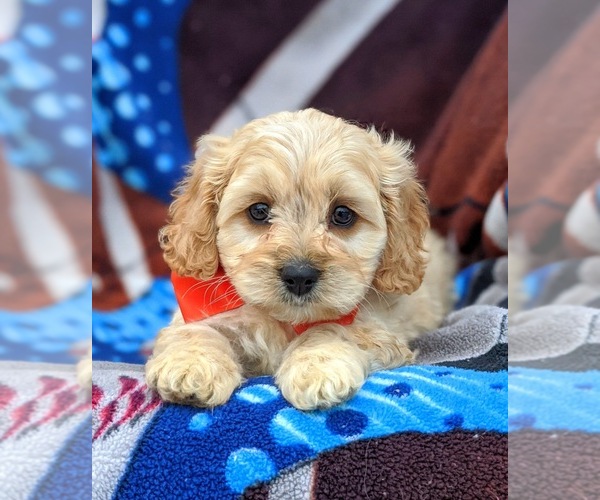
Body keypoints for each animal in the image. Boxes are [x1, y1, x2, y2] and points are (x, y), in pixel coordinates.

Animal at [146, 109, 454, 410]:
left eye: (343, 214)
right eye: (259, 211)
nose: (299, 275)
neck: (286, 321)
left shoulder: (383, 330)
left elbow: (334, 328)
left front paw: (317, 367)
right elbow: (195, 329)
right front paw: (191, 365)